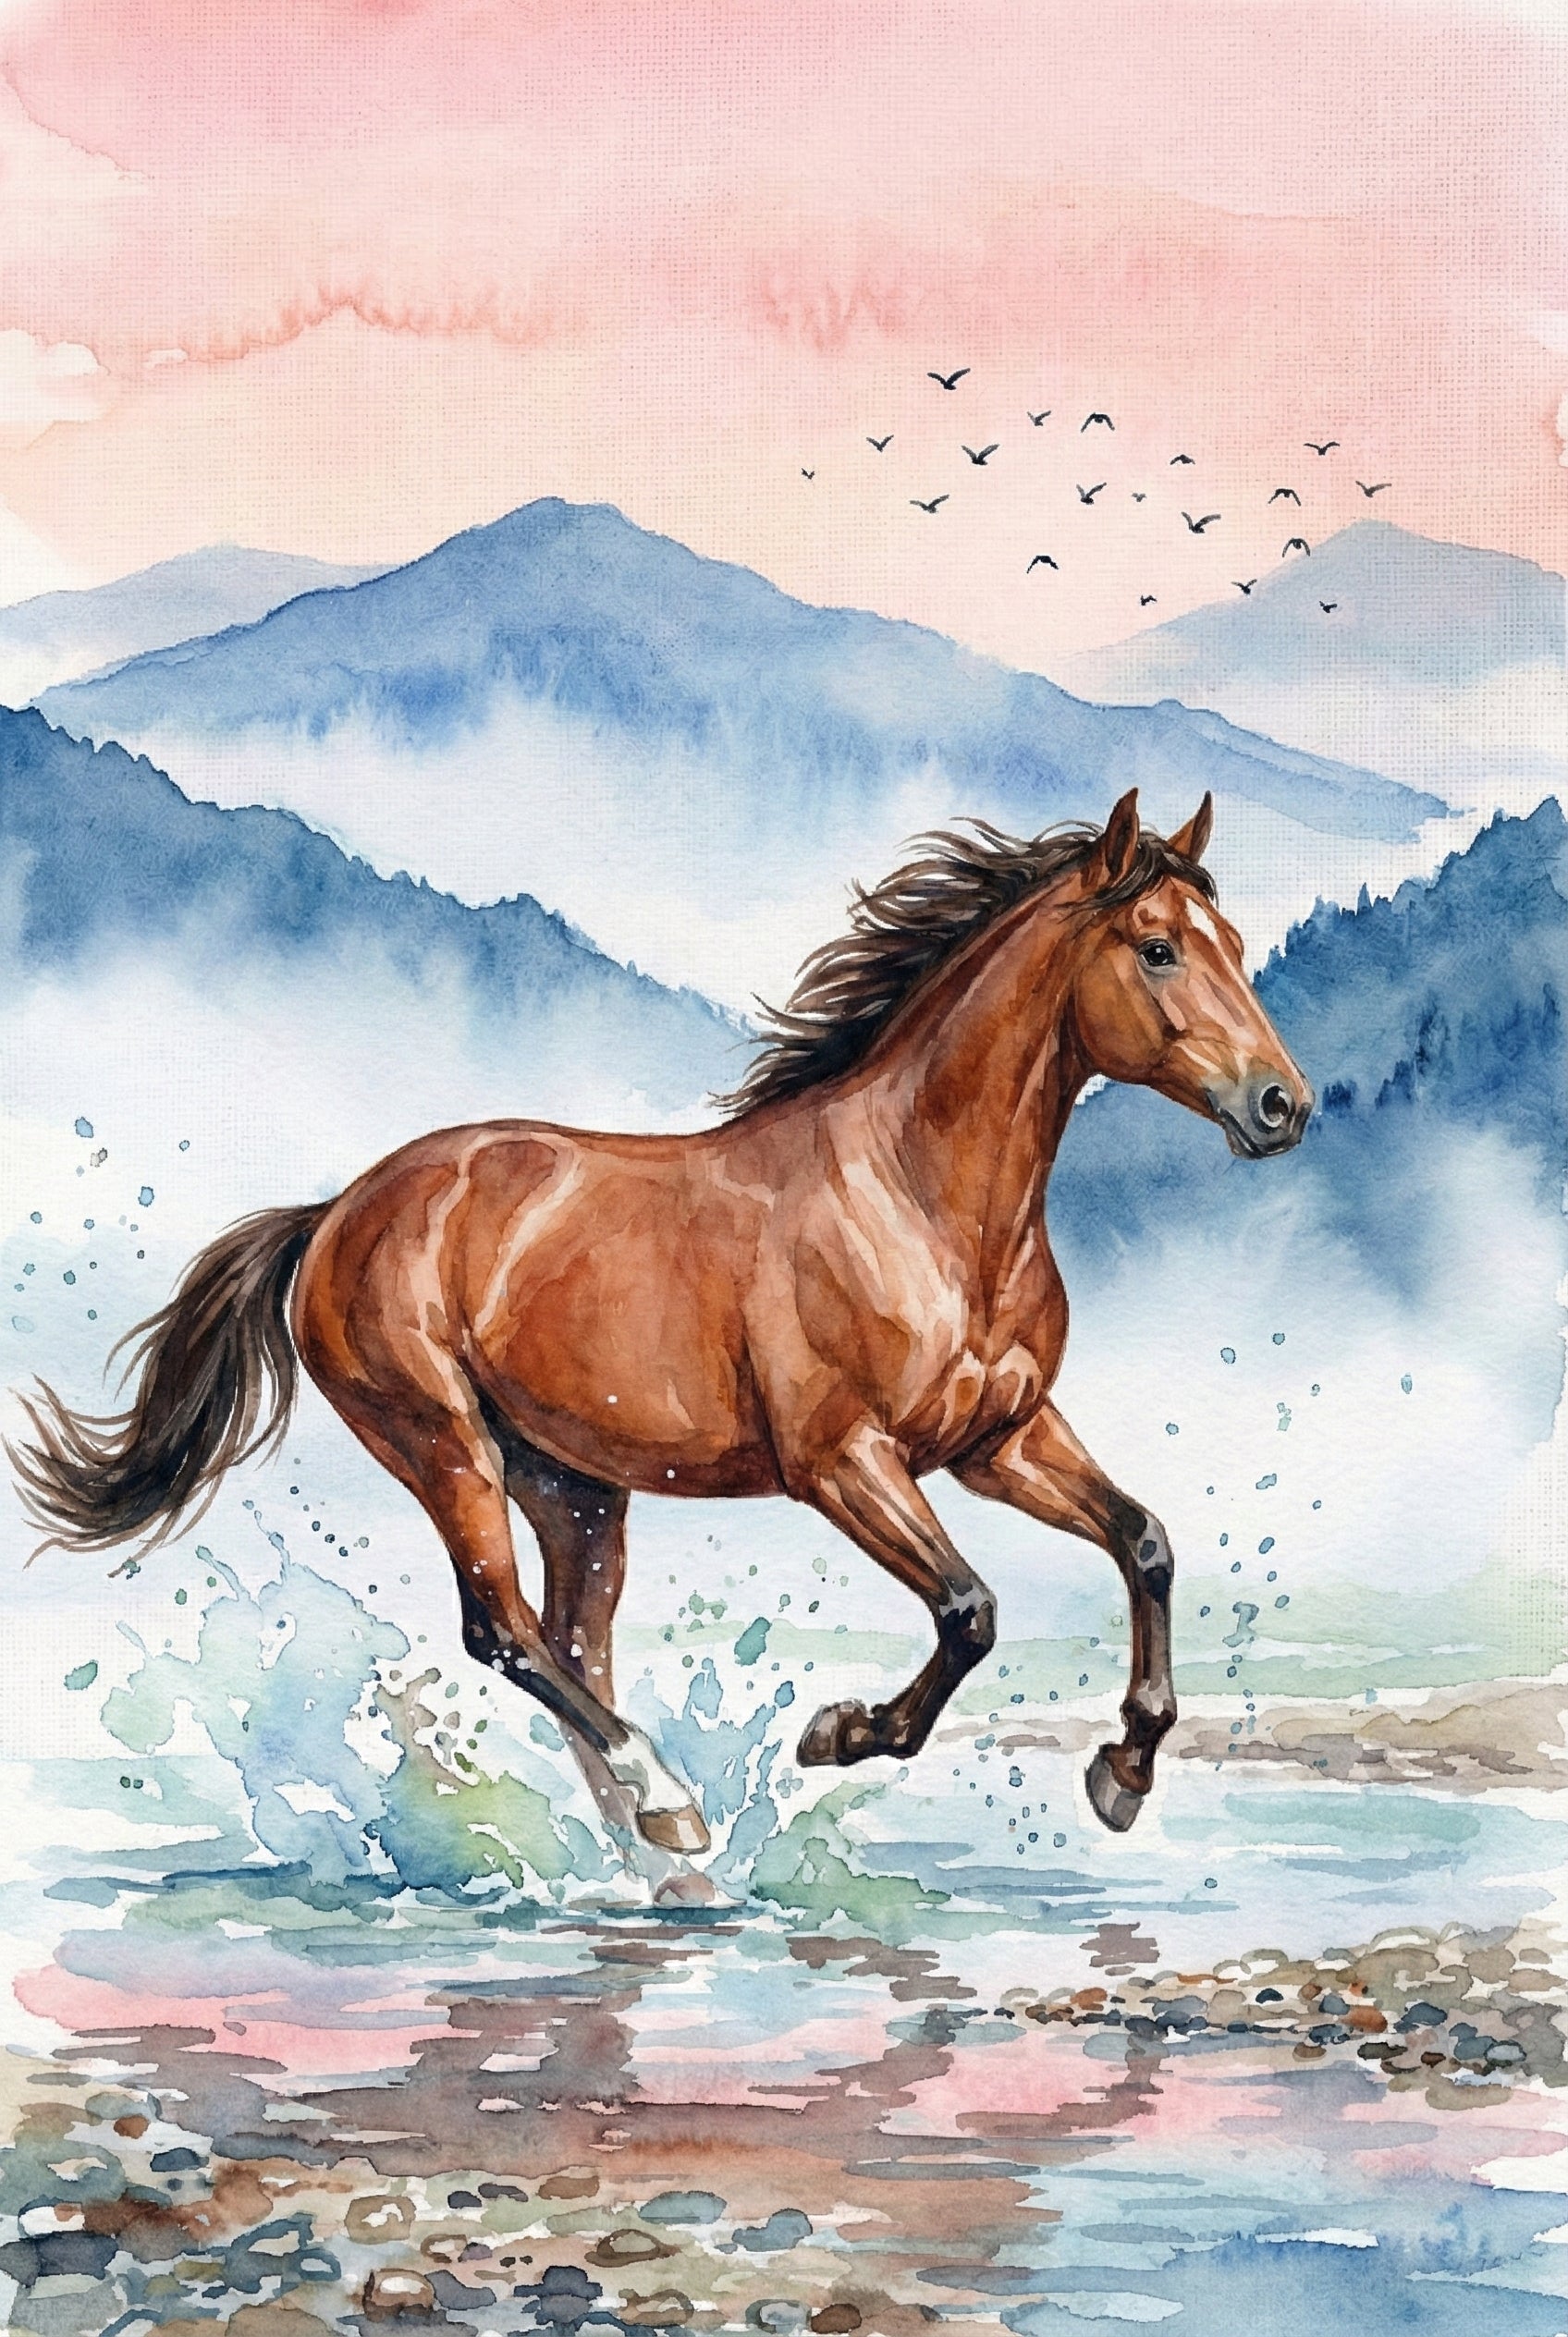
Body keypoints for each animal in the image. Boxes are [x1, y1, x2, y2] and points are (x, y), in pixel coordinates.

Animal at [12, 787, 1311, 1896]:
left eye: (1235, 943)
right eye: (1157, 945)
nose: (1281, 1105)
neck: (921, 1201)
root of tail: (335, 1211)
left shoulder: (1000, 1439)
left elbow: (1143, 1541)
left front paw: (1122, 1771)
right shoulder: (841, 1460)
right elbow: (969, 1609)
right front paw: (844, 1734)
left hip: (574, 1484)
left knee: (572, 1643)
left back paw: (663, 1854)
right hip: (440, 1440)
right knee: (504, 1630)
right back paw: (667, 1803)